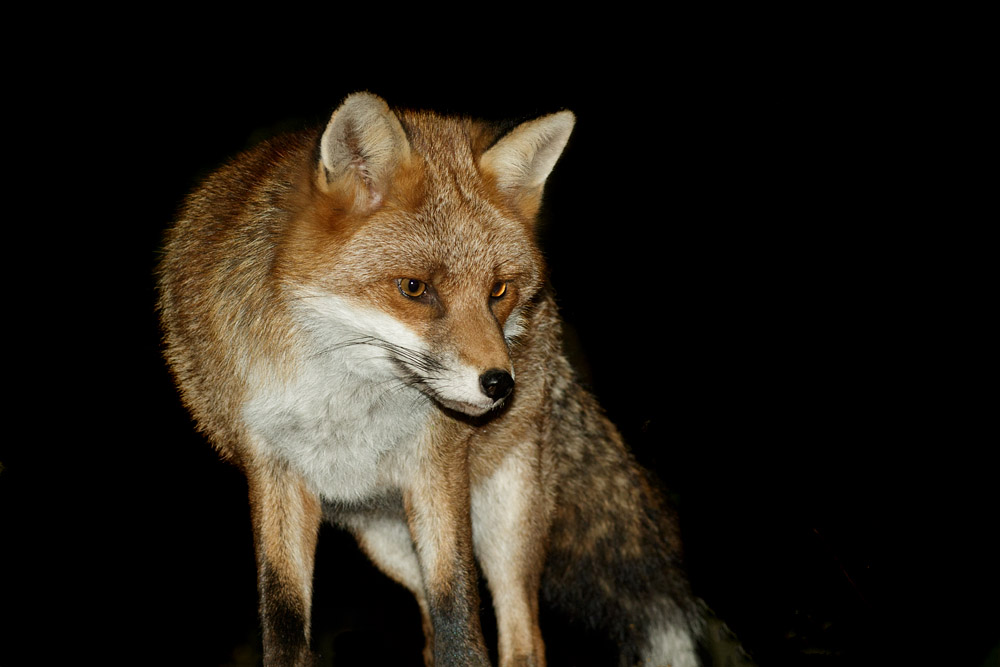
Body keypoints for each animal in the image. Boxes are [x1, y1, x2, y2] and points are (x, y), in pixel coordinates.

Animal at [158, 92, 750, 667]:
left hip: (506, 514)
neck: (341, 402)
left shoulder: (437, 464)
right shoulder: (274, 472)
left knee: (522, 639)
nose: (501, 385)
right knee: (425, 625)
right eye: (414, 288)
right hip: (386, 540)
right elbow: (284, 624)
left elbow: (459, 622)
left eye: (499, 291)